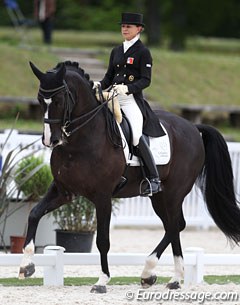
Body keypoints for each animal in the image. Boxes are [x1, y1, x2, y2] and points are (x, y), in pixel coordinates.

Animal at [18, 60, 240, 290]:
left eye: (60, 100)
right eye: (39, 100)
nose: (50, 140)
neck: (81, 141)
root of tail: (193, 128)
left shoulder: (103, 196)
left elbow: (103, 240)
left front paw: (102, 280)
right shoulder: (63, 191)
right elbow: (34, 214)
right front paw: (26, 266)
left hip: (174, 192)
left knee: (175, 225)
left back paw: (150, 271)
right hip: (159, 197)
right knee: (174, 225)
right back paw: (172, 278)